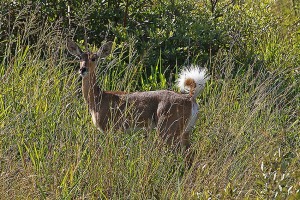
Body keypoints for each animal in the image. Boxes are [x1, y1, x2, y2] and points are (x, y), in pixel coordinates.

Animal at [67, 38, 209, 156]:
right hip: (186, 129)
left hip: (168, 127)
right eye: (80, 57)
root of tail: (190, 98)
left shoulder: (111, 128)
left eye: (94, 58)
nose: (83, 69)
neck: (97, 99)